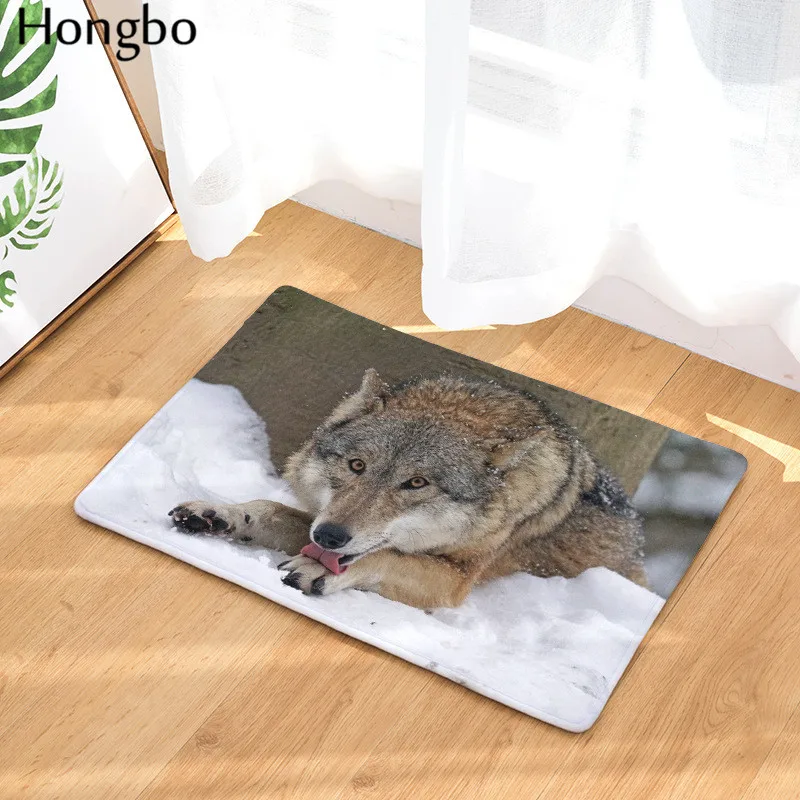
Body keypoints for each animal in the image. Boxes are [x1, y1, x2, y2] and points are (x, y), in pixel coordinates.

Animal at [170, 370, 647, 608]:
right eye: (357, 465)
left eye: (416, 483)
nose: (329, 537)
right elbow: (267, 507)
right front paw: (219, 514)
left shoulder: (456, 581)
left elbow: (386, 556)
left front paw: (321, 572)